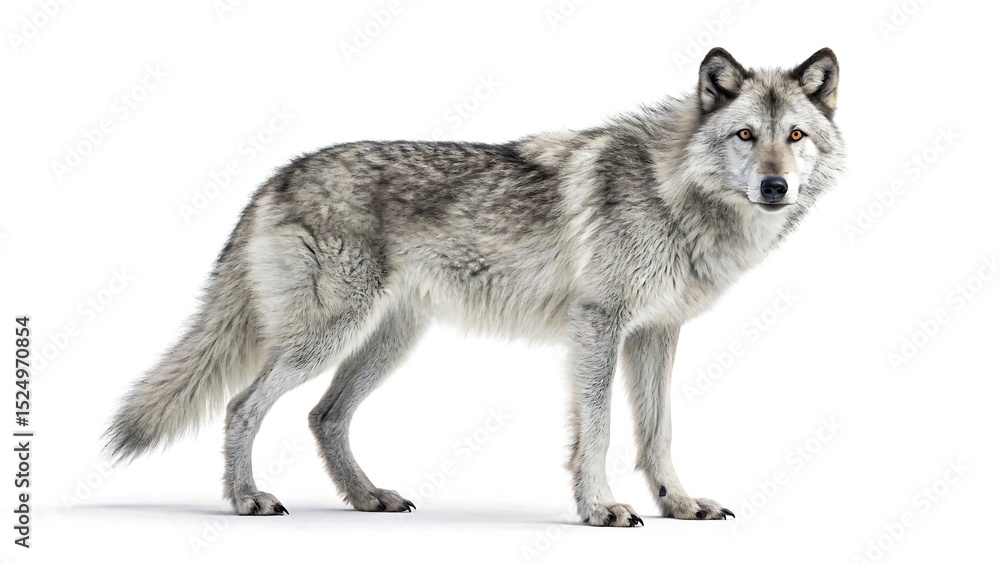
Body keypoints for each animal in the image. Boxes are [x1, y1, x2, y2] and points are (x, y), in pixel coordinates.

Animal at [105, 47, 845, 526]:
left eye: (795, 135)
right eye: (745, 134)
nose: (775, 187)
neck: (674, 193)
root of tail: (273, 177)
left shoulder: (657, 334)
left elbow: (658, 432)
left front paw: (681, 505)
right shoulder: (599, 326)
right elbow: (600, 429)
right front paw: (600, 508)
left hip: (388, 343)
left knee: (324, 415)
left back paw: (368, 498)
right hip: (325, 338)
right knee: (241, 406)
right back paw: (247, 499)